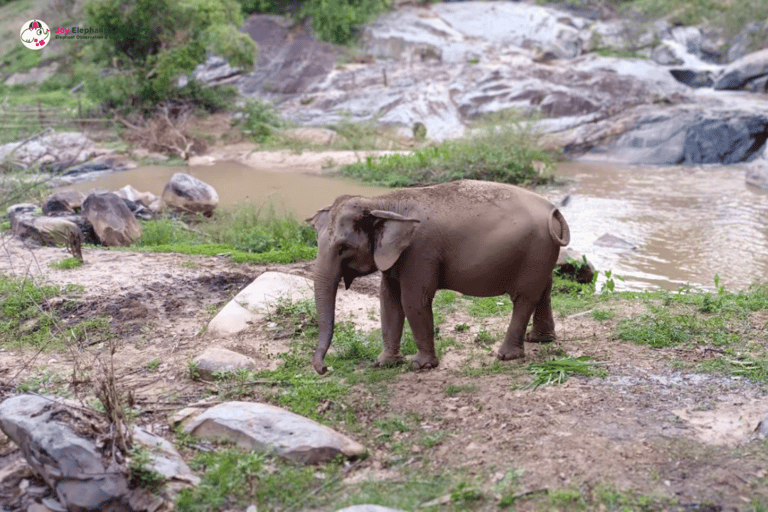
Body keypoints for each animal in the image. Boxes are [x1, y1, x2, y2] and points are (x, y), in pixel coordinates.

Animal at [308, 180, 568, 376]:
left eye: (343, 248)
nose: (324, 369)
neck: (380, 202)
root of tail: (554, 211)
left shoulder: (420, 251)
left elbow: (413, 300)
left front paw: (421, 365)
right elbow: (389, 301)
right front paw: (384, 363)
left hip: (534, 252)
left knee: (523, 298)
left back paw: (507, 356)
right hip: (543, 253)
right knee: (544, 289)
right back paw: (539, 340)